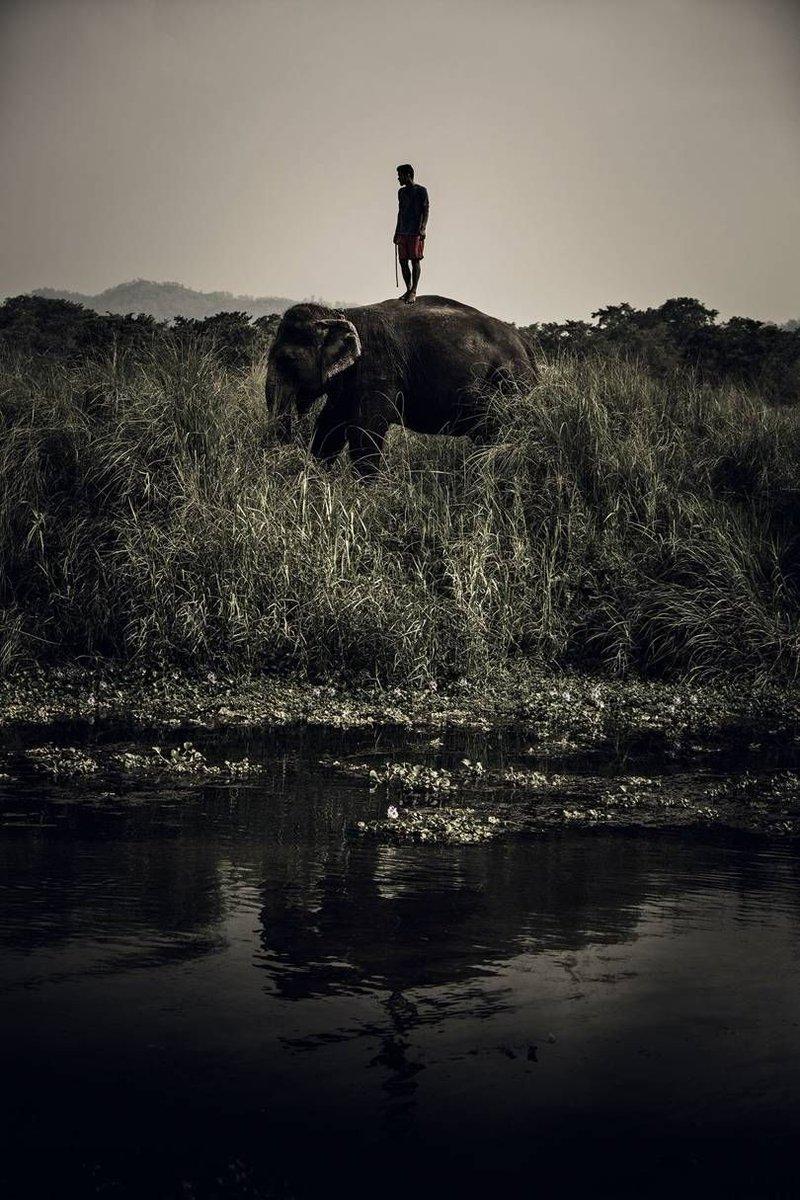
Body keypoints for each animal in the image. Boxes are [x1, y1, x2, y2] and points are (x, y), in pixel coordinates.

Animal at [265, 295, 535, 476]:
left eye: (287, 359)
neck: (339, 314)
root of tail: (526, 344)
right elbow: (330, 426)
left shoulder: (377, 370)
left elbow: (366, 431)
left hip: (510, 384)